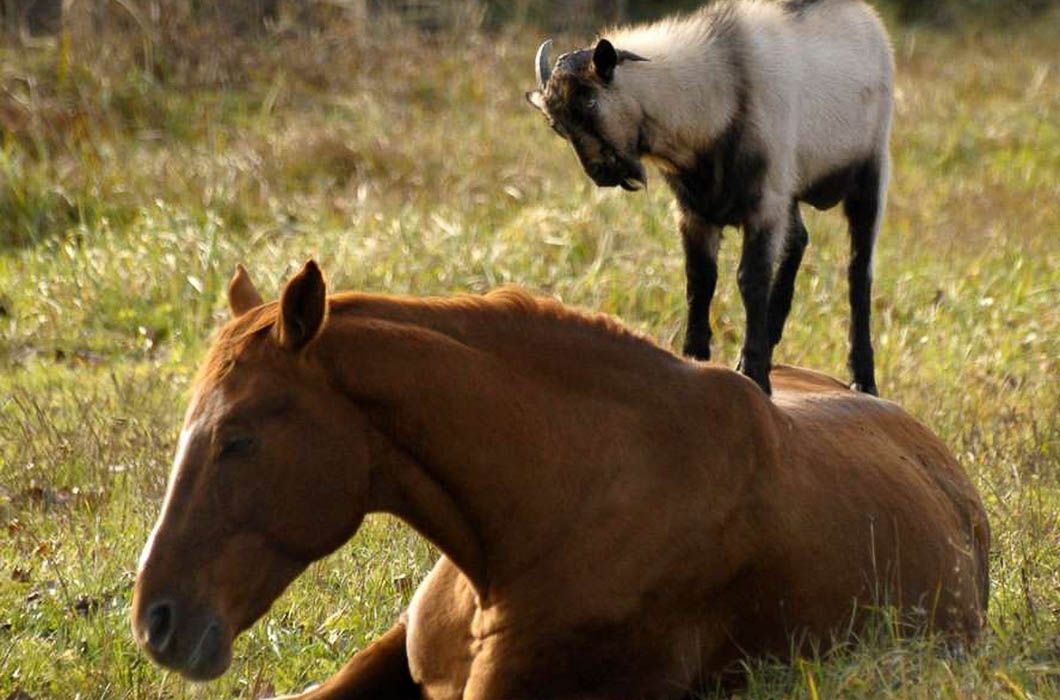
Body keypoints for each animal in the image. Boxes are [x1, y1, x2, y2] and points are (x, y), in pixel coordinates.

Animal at [525, 0, 890, 394]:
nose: (601, 174)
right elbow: (699, 280)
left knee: (858, 271)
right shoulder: (695, 213)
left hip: (869, 175)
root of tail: (868, 18)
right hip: (790, 194)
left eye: (591, 102)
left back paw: (863, 379)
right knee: (798, 241)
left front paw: (755, 373)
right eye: (558, 125)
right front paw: (696, 358)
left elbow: (750, 280)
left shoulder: (764, 205)